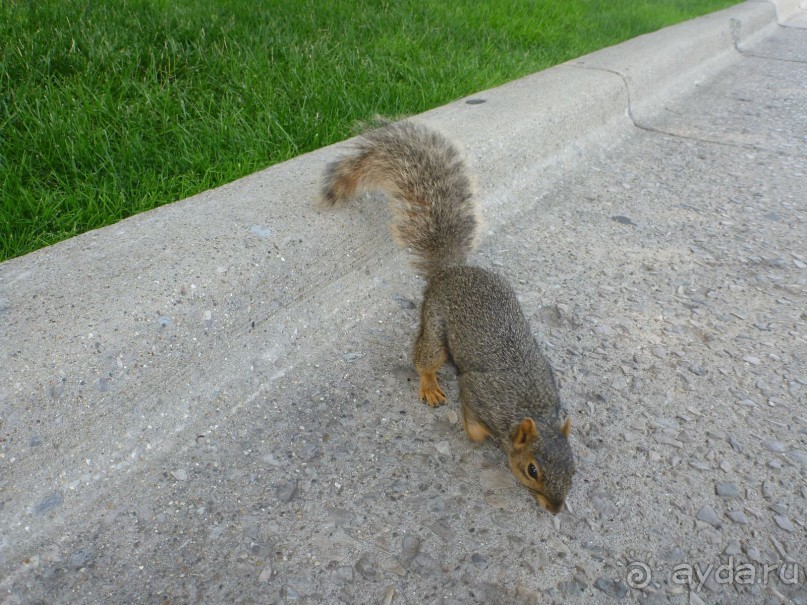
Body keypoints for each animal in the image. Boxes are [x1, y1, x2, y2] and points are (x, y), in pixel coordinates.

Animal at [322, 119, 576, 516]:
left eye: (574, 469)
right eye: (532, 470)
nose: (554, 509)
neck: (528, 406)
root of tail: (451, 271)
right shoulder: (478, 393)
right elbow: (472, 424)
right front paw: (479, 435)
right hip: (436, 325)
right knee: (424, 357)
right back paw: (429, 385)